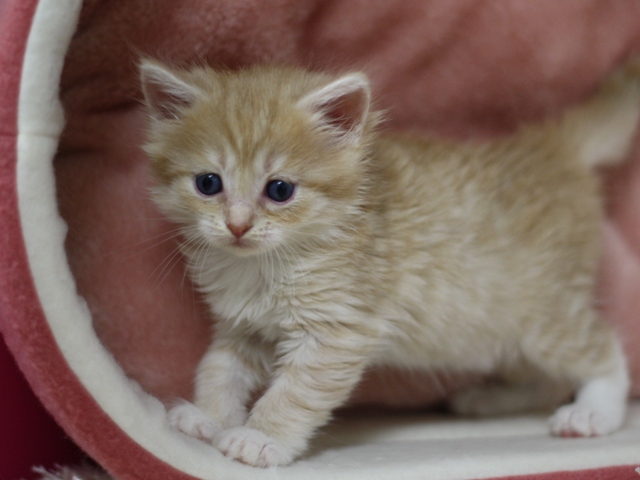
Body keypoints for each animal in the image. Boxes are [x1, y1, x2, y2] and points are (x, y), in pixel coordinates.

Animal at [141, 58, 640, 466]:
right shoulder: (246, 328)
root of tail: (550, 148)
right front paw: (208, 417)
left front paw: (260, 438)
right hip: (494, 330)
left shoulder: (337, 330)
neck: (264, 265)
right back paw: (490, 400)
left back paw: (594, 411)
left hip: (541, 315)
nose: (238, 226)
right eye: (208, 183)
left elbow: (295, 392)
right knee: (548, 379)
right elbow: (217, 368)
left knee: (603, 349)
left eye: (280, 190)